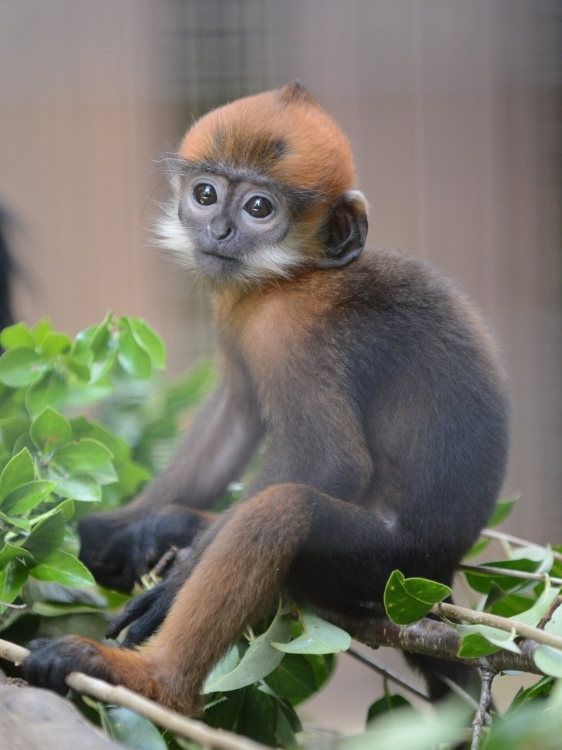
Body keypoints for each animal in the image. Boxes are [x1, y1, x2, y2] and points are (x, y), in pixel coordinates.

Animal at [24, 83, 510, 716]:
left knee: (282, 510)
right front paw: (106, 529)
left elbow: (329, 462)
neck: (292, 274)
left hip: (382, 570)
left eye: (260, 208)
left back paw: (149, 679)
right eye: (205, 194)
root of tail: (441, 573)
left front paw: (168, 590)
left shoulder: (291, 327)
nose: (219, 233)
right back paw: (161, 529)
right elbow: (234, 415)